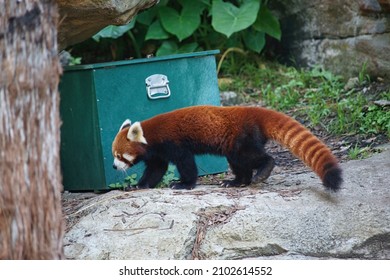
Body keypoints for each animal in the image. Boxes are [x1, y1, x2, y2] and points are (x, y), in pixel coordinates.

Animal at [111, 105, 342, 190]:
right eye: (113, 155)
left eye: (120, 156)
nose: (114, 167)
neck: (151, 135)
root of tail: (252, 111)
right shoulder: (157, 154)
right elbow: (155, 170)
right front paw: (139, 186)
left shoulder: (174, 143)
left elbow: (186, 164)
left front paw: (184, 184)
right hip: (235, 144)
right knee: (239, 164)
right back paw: (237, 181)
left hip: (242, 140)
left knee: (253, 158)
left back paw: (263, 170)